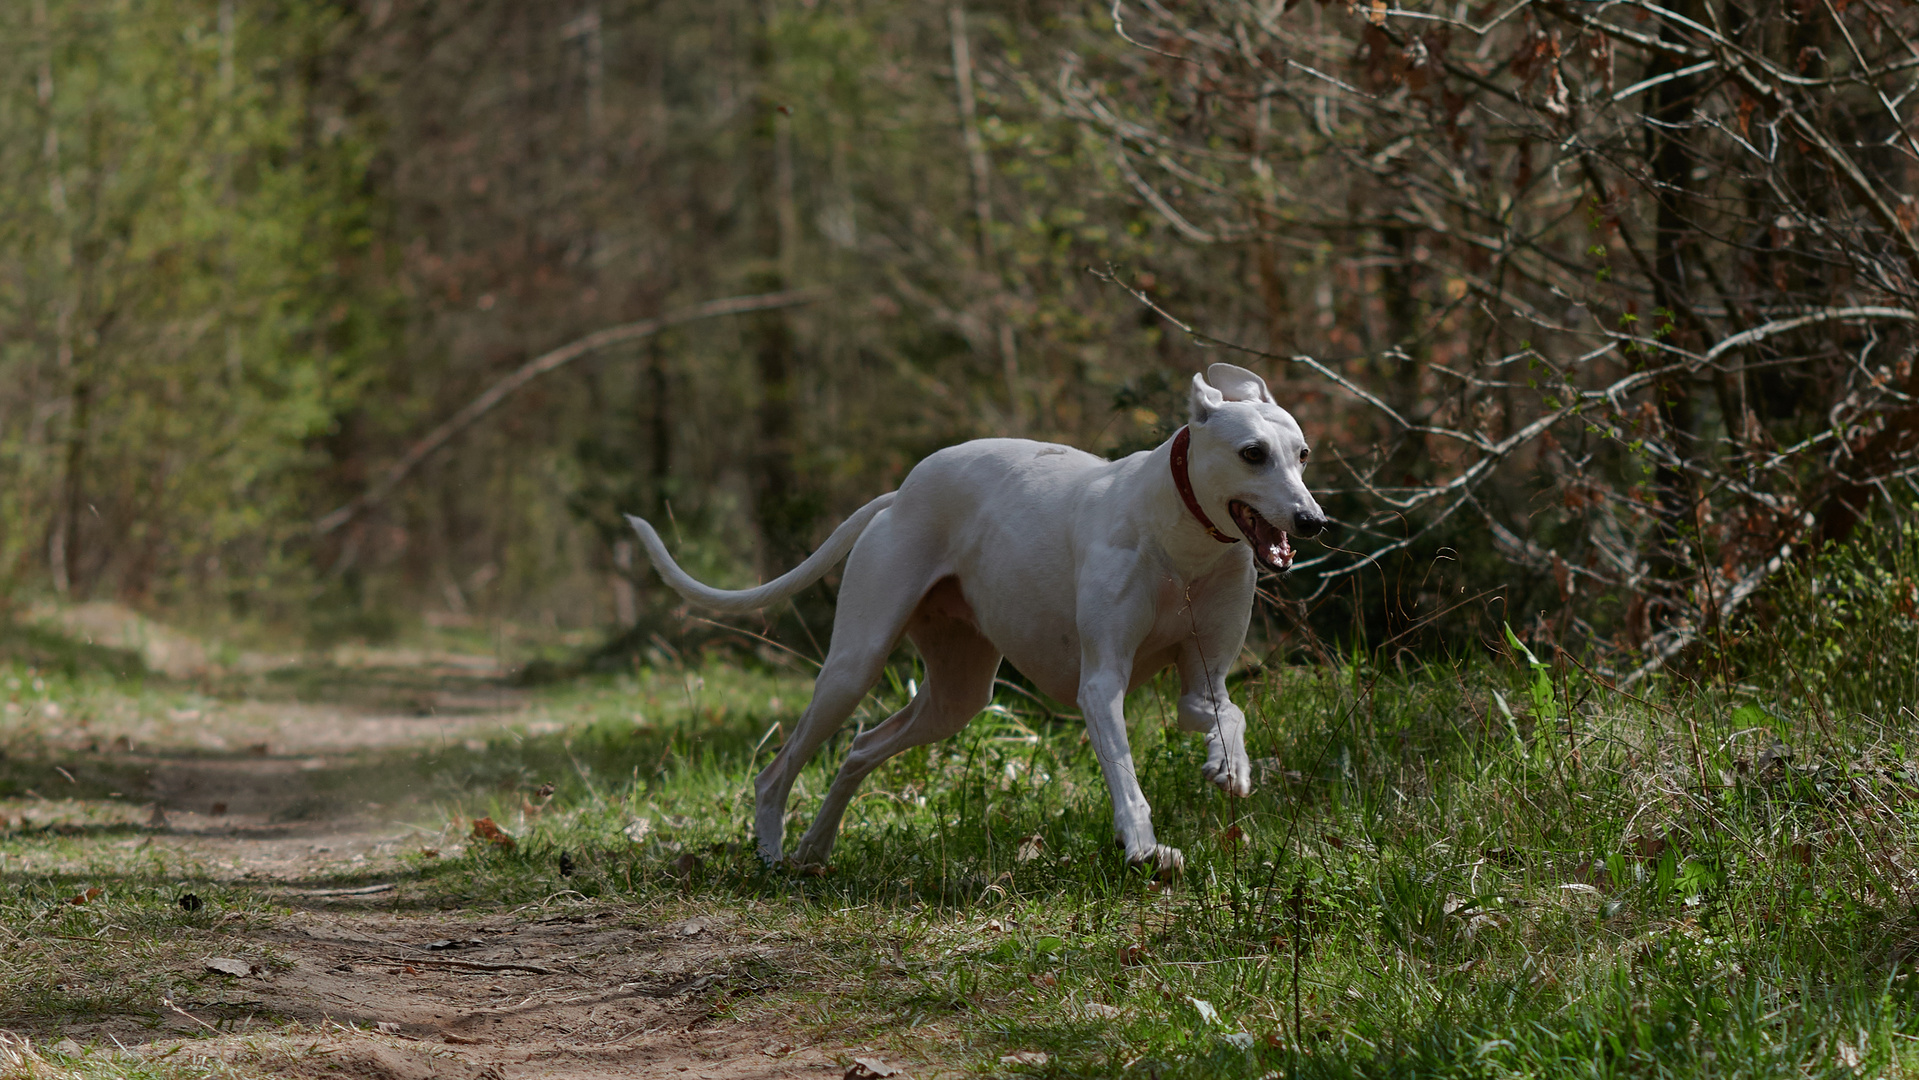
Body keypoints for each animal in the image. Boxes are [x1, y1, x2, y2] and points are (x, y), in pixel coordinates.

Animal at [629, 368, 1320, 874]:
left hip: (956, 695)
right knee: (779, 770)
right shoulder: (1100, 685)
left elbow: (1227, 712)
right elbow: (1125, 776)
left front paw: (1231, 767)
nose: (1313, 521)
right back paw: (772, 852)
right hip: (854, 666)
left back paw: (814, 850)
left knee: (861, 748)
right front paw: (1146, 851)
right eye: (1252, 453)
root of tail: (898, 495)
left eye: (1303, 454)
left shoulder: (1202, 683)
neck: (1182, 540)